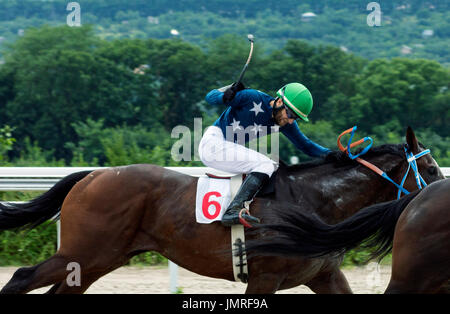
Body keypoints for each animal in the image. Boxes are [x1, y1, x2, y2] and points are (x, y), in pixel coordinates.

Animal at [0, 126, 442, 294]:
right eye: (431, 168)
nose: (439, 195)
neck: (315, 202)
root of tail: (92, 176)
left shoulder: (325, 275)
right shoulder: (264, 278)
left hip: (98, 259)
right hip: (84, 252)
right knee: (22, 277)